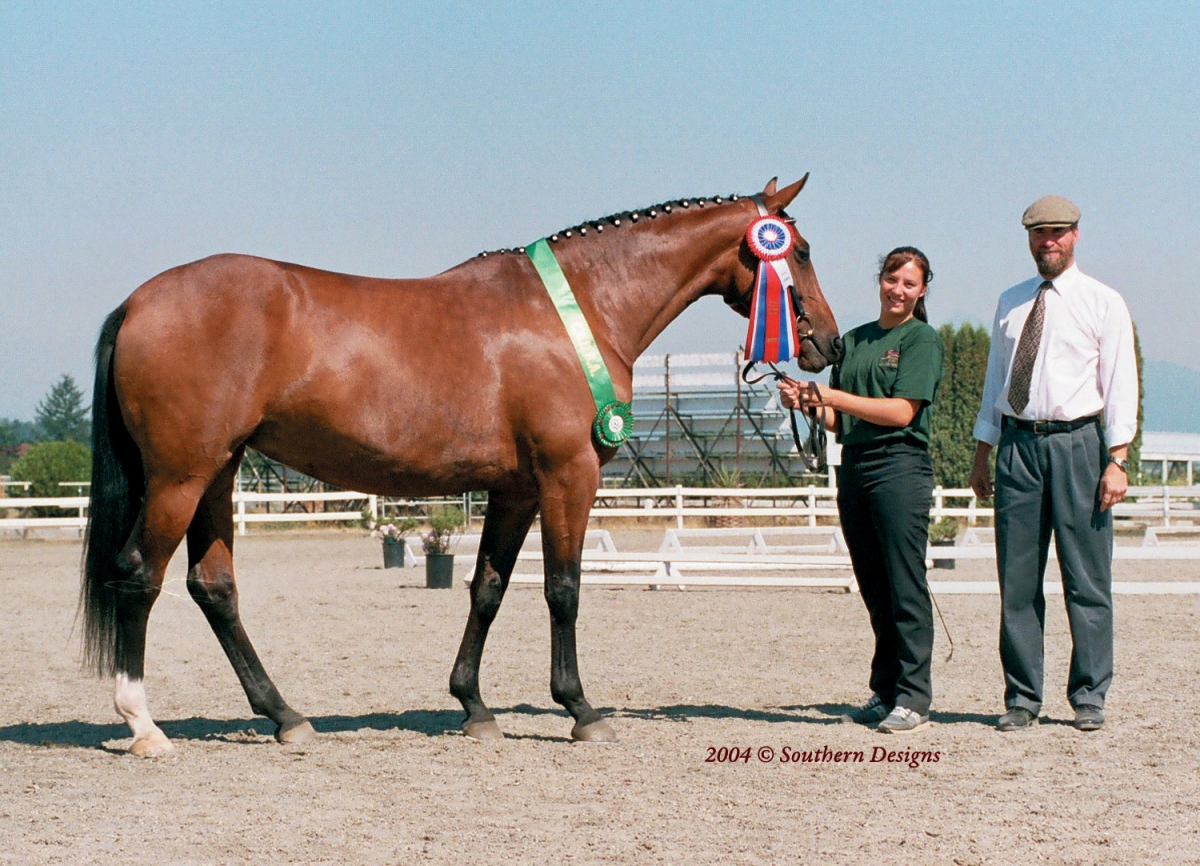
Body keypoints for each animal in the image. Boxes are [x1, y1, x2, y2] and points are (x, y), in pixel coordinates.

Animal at [81, 175, 841, 757]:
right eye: (798, 250)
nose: (828, 344)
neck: (578, 308)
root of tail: (139, 302)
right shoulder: (568, 476)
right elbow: (563, 589)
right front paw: (580, 710)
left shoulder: (515, 491)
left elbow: (488, 589)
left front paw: (473, 707)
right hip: (180, 477)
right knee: (140, 575)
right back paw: (144, 725)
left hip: (217, 472)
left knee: (213, 588)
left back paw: (286, 716)